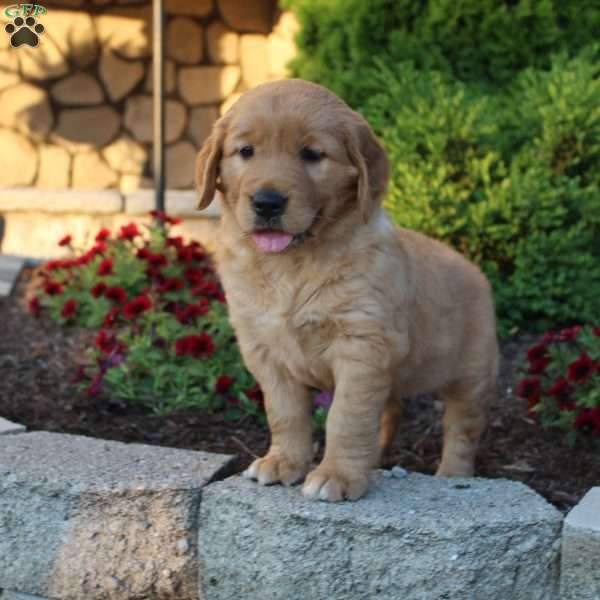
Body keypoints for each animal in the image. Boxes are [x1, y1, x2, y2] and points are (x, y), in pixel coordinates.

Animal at [195, 79, 500, 502]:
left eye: (311, 155)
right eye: (245, 152)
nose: (267, 202)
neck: (291, 264)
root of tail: (474, 269)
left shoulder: (362, 344)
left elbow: (346, 416)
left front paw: (337, 475)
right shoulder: (264, 349)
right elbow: (285, 412)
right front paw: (283, 462)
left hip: (473, 371)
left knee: (462, 428)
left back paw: (451, 475)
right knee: (389, 411)